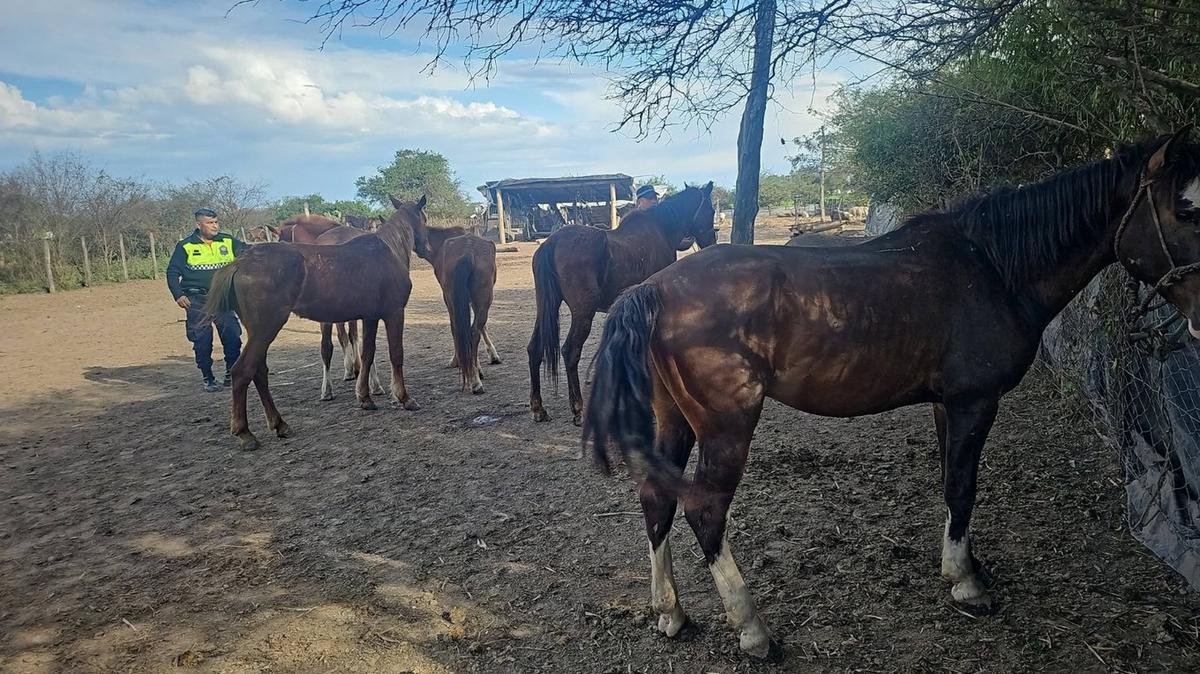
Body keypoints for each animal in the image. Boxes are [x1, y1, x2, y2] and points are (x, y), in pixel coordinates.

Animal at [205, 196, 432, 451]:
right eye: (425, 219)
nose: (427, 248)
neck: (389, 251)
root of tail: (240, 262)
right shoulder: (394, 313)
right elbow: (396, 354)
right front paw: (404, 398)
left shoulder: (370, 317)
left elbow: (367, 353)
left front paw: (365, 397)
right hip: (266, 329)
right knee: (243, 371)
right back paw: (245, 433)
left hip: (260, 332)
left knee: (259, 371)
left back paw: (280, 424)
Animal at [425, 226, 502, 393]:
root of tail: (467, 251)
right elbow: (480, 327)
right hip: (483, 297)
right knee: (472, 331)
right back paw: (475, 381)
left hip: (451, 298)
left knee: (458, 329)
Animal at [528, 182, 718, 425]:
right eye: (710, 211)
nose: (711, 243)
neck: (661, 229)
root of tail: (551, 243)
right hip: (583, 313)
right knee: (570, 352)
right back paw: (578, 409)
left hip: (546, 308)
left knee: (534, 349)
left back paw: (538, 408)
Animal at [582, 128, 1200, 657]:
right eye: (1185, 209)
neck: (993, 268)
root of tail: (653, 289)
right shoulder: (974, 402)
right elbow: (962, 486)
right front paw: (967, 586)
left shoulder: (947, 406)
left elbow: (954, 486)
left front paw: (967, 564)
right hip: (727, 427)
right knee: (705, 511)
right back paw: (753, 632)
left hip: (675, 421)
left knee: (657, 498)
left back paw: (672, 615)